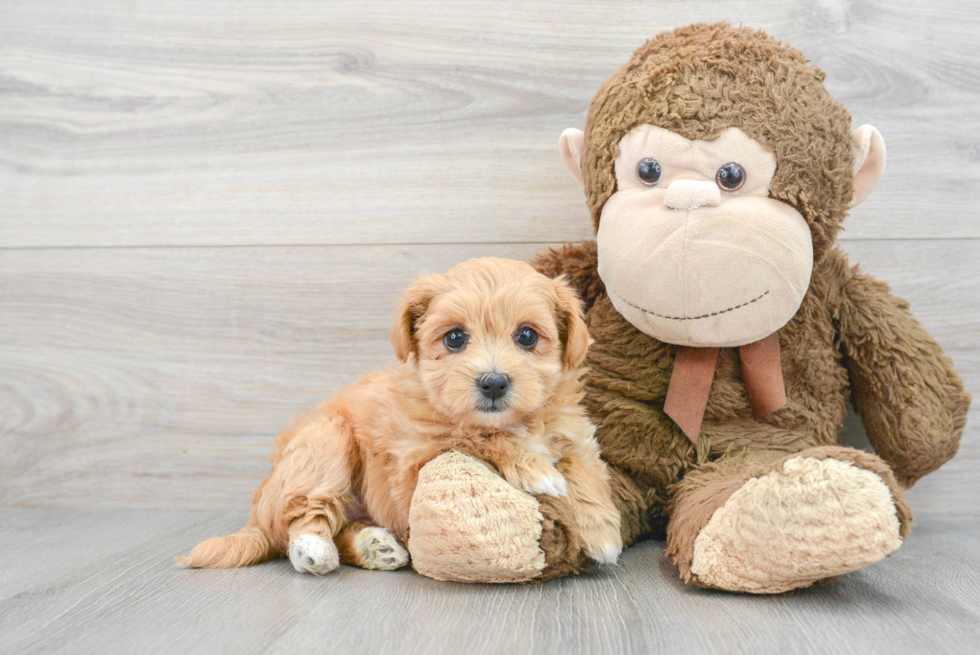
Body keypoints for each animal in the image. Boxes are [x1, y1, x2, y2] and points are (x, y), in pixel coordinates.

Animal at [178, 256, 620, 576]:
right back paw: (314, 550)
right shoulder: (417, 462)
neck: (516, 421)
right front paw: (536, 469)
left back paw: (375, 547)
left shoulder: (576, 435)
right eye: (455, 338)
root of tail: (259, 511)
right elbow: (476, 436)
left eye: (527, 336)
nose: (493, 383)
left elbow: (583, 468)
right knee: (303, 514)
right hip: (324, 443)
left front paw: (601, 529)